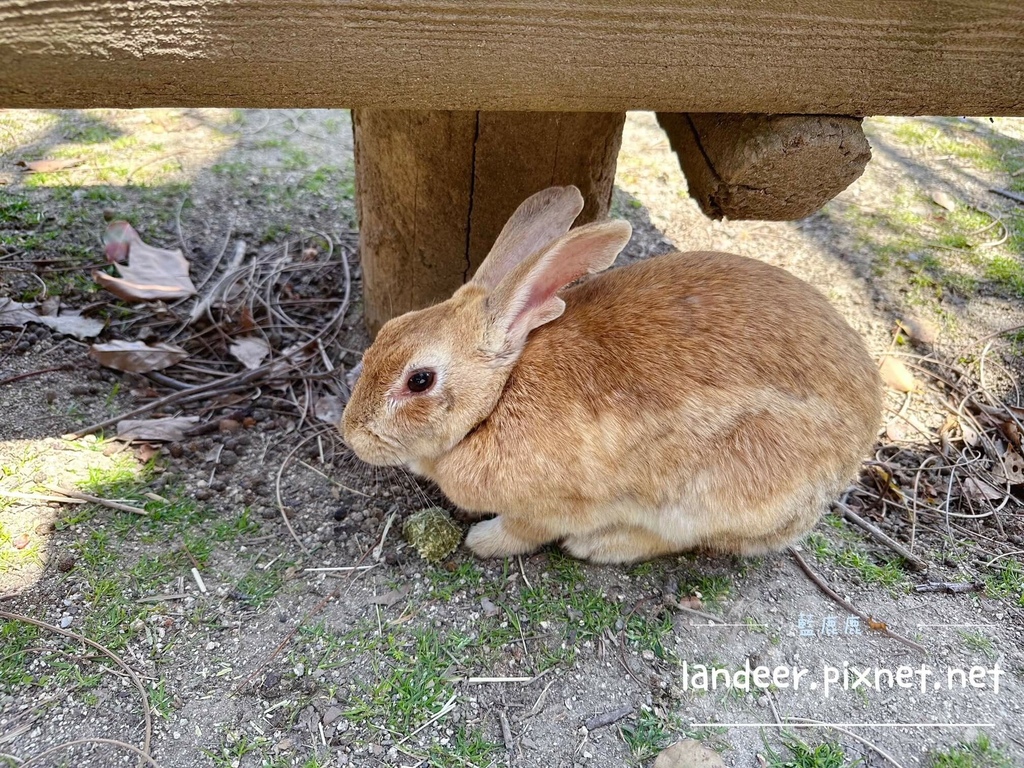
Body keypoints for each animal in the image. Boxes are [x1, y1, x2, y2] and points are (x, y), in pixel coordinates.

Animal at [339, 183, 884, 561]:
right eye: (389, 330)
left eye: (420, 380)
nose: (351, 435)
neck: (497, 400)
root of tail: (860, 445)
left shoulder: (557, 504)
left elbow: (524, 530)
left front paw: (483, 541)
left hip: (713, 495)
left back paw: (600, 547)